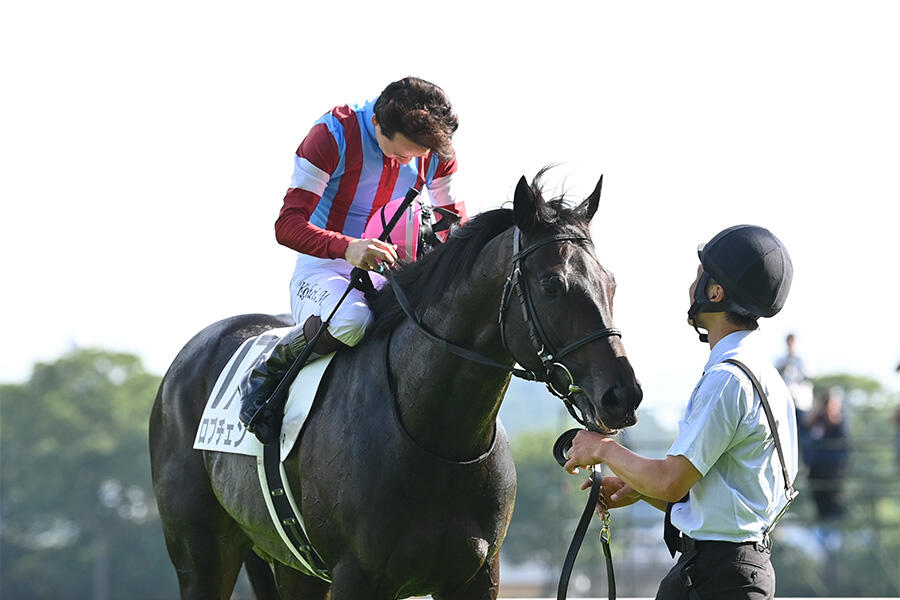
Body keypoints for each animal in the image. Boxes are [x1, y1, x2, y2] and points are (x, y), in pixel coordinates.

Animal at [149, 171, 643, 599]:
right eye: (552, 284)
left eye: (610, 282)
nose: (623, 395)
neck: (438, 440)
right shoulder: (356, 576)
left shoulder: (478, 575)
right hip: (202, 556)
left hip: (291, 567)